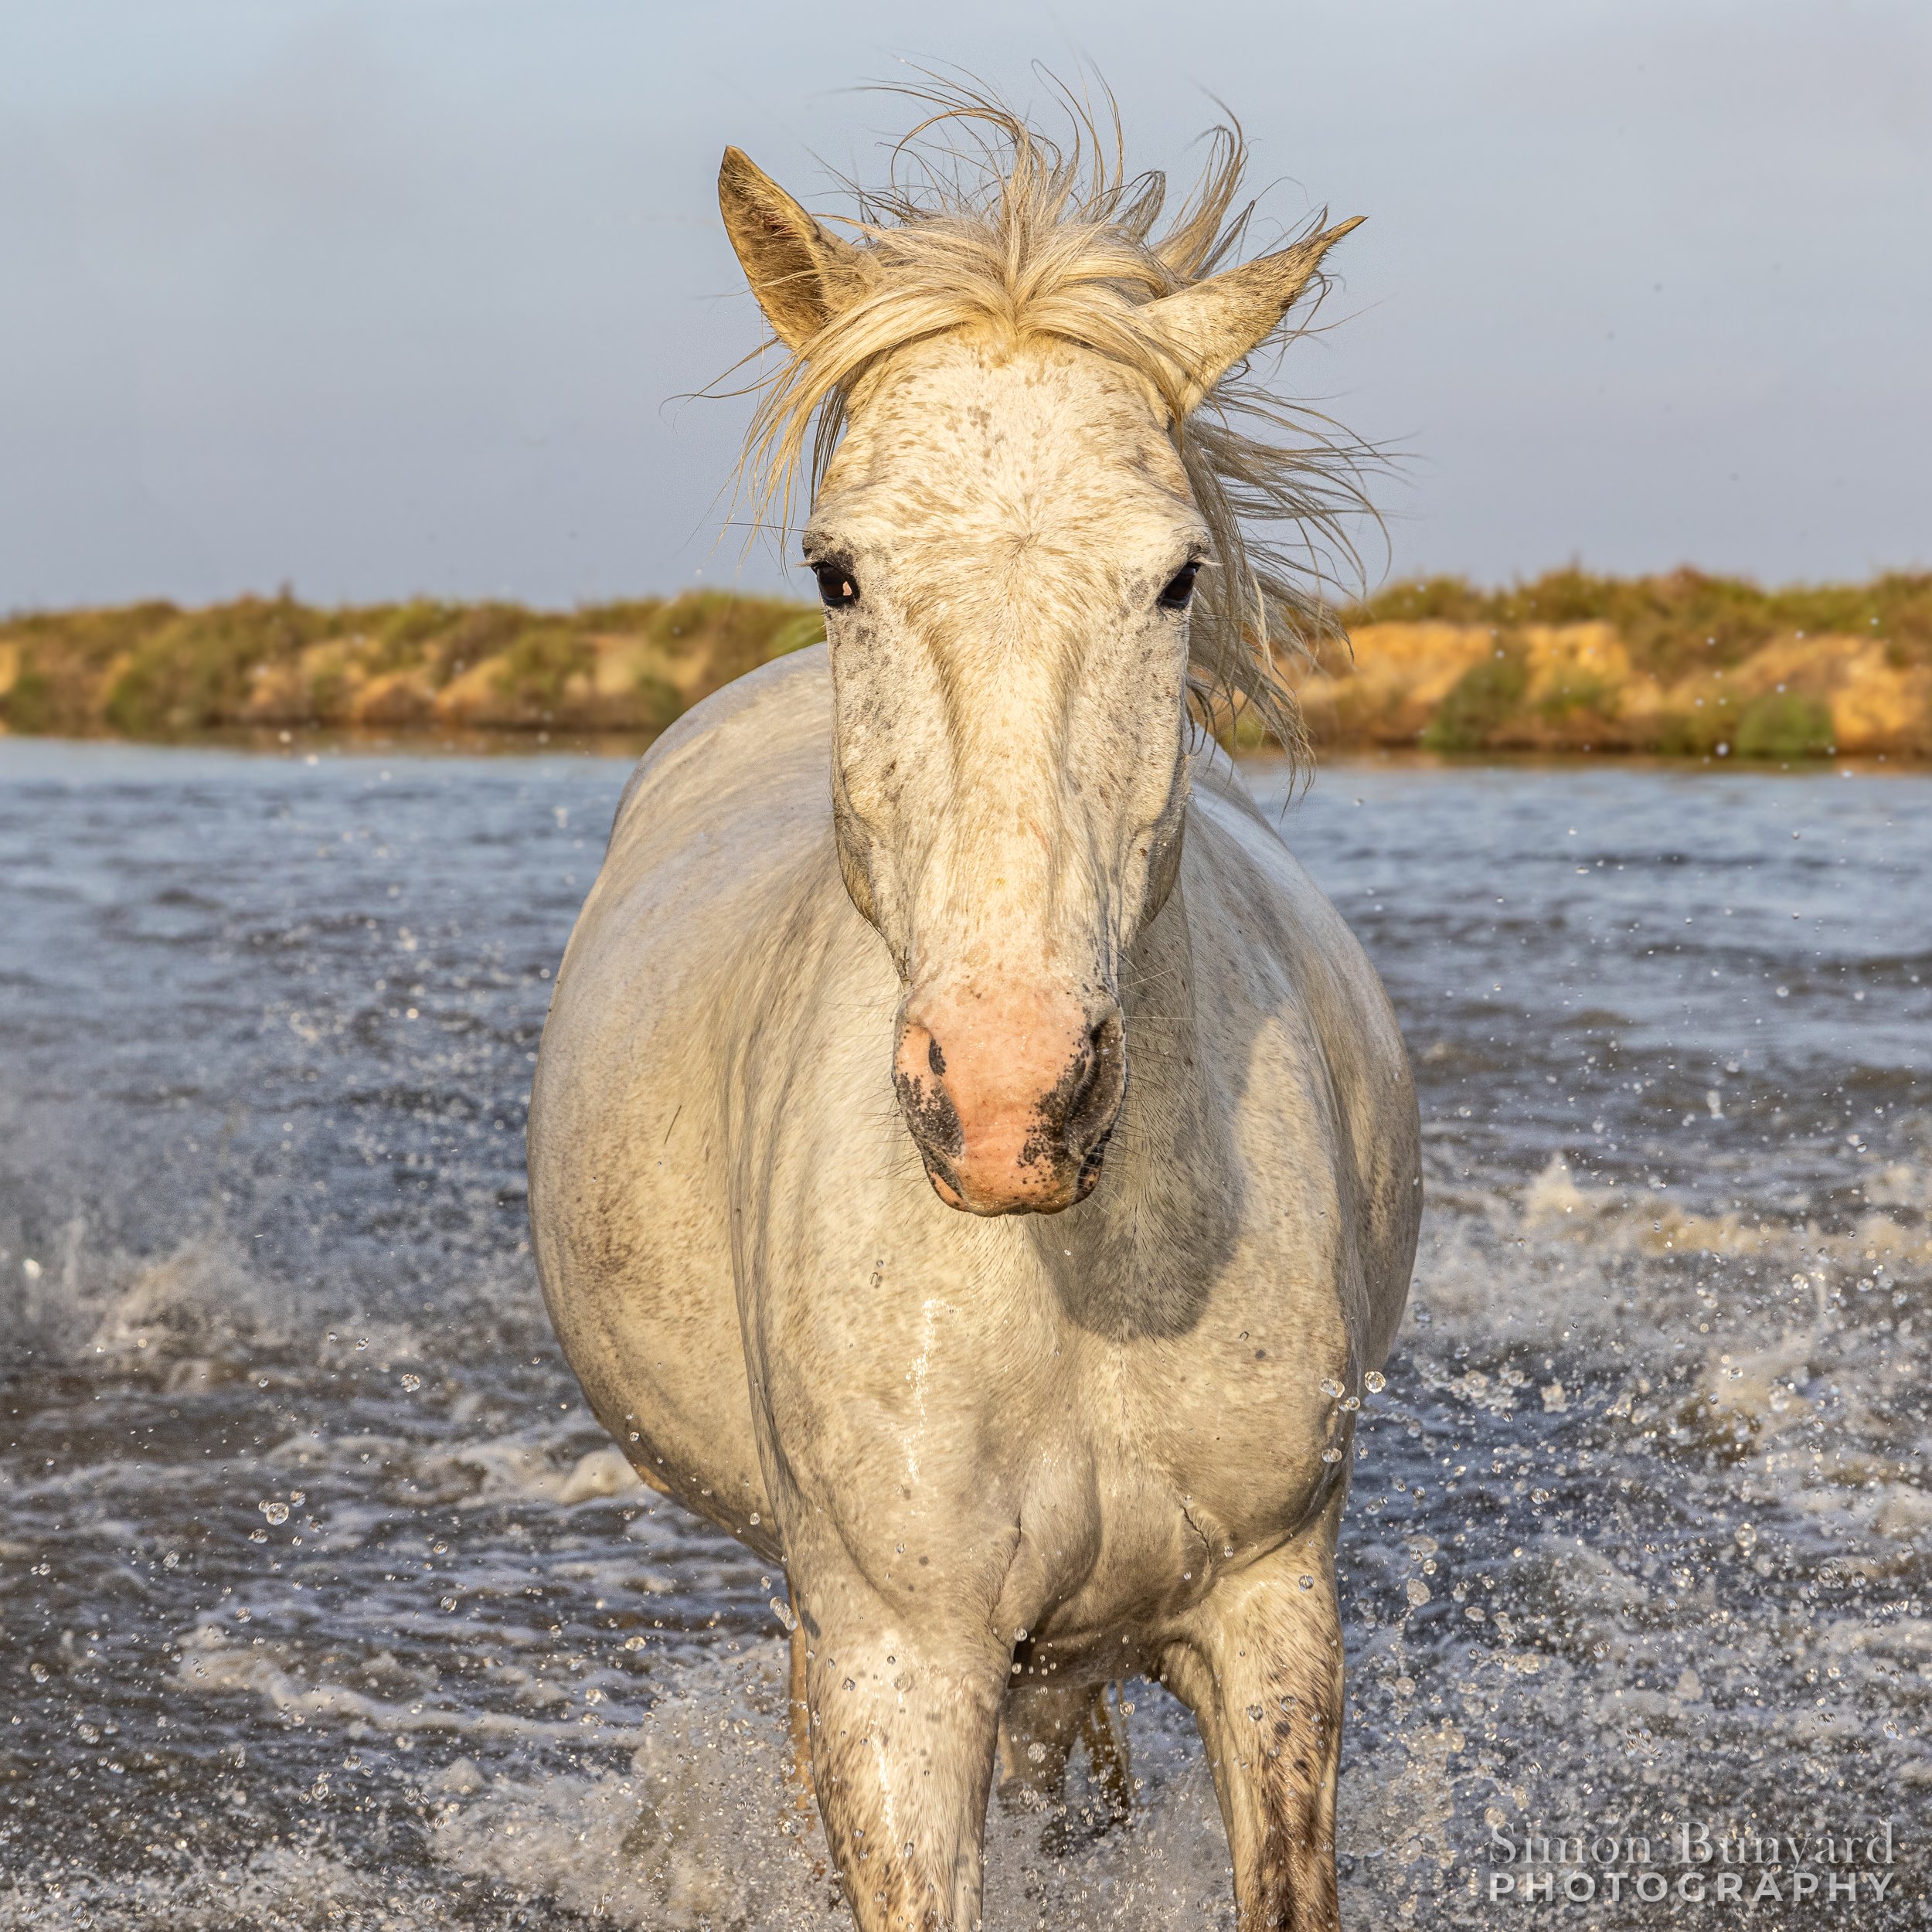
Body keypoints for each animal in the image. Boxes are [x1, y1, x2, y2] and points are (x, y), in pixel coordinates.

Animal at [528, 98, 1420, 1932]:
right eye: (838, 571)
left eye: (1176, 579)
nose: (1012, 1099)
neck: (1068, 1281)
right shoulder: (898, 1659)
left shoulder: (1271, 1611)